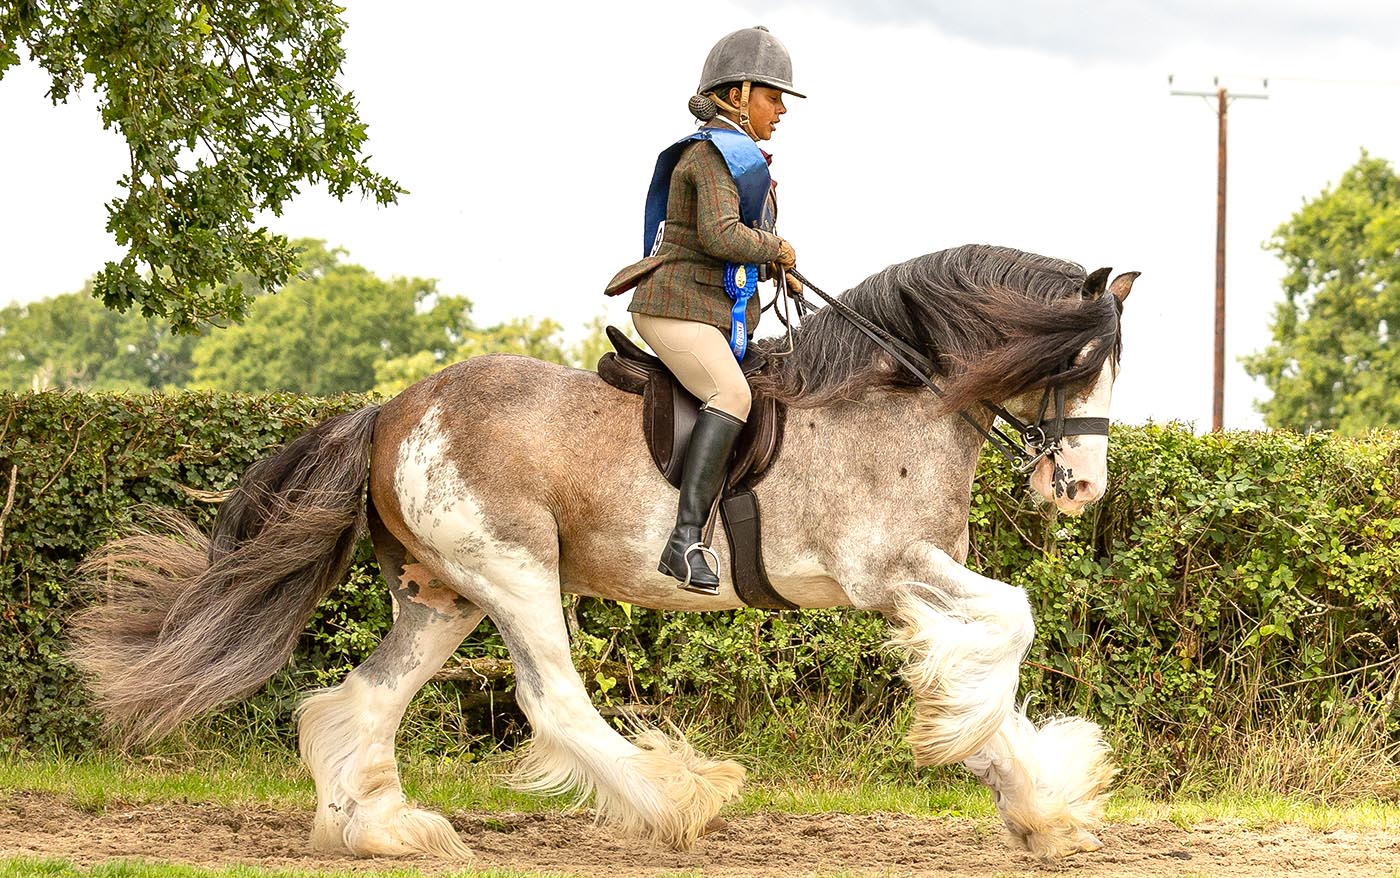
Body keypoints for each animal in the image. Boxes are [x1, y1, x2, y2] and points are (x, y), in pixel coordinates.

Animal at [71, 244, 1137, 863]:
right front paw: (983, 749)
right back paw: (677, 799)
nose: (1080, 490)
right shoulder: (888, 570)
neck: (891, 394)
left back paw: (379, 829)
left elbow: (981, 657)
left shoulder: (906, 584)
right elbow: (1012, 623)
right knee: (554, 700)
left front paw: (1033, 801)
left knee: (361, 697)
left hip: (443, 595)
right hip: (513, 573)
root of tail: (393, 409)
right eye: (1078, 363)